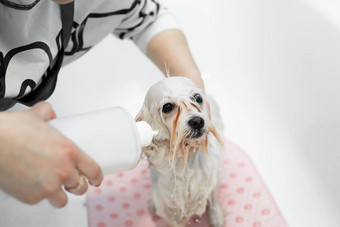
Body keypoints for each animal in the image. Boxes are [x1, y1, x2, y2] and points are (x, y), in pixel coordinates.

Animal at [135, 76, 226, 227]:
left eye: (197, 98)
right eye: (167, 107)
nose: (197, 121)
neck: (183, 165)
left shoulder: (206, 182)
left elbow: (212, 194)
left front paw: (216, 214)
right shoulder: (168, 205)